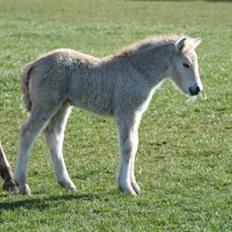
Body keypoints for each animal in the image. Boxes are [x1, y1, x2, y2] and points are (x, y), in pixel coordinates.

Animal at [15, 35, 202, 194]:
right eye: (185, 64)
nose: (196, 89)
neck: (137, 71)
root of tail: (35, 63)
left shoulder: (135, 113)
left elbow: (134, 144)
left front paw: (134, 185)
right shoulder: (126, 112)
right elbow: (128, 146)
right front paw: (126, 187)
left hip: (62, 106)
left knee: (54, 137)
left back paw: (66, 183)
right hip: (46, 104)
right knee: (28, 134)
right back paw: (22, 184)